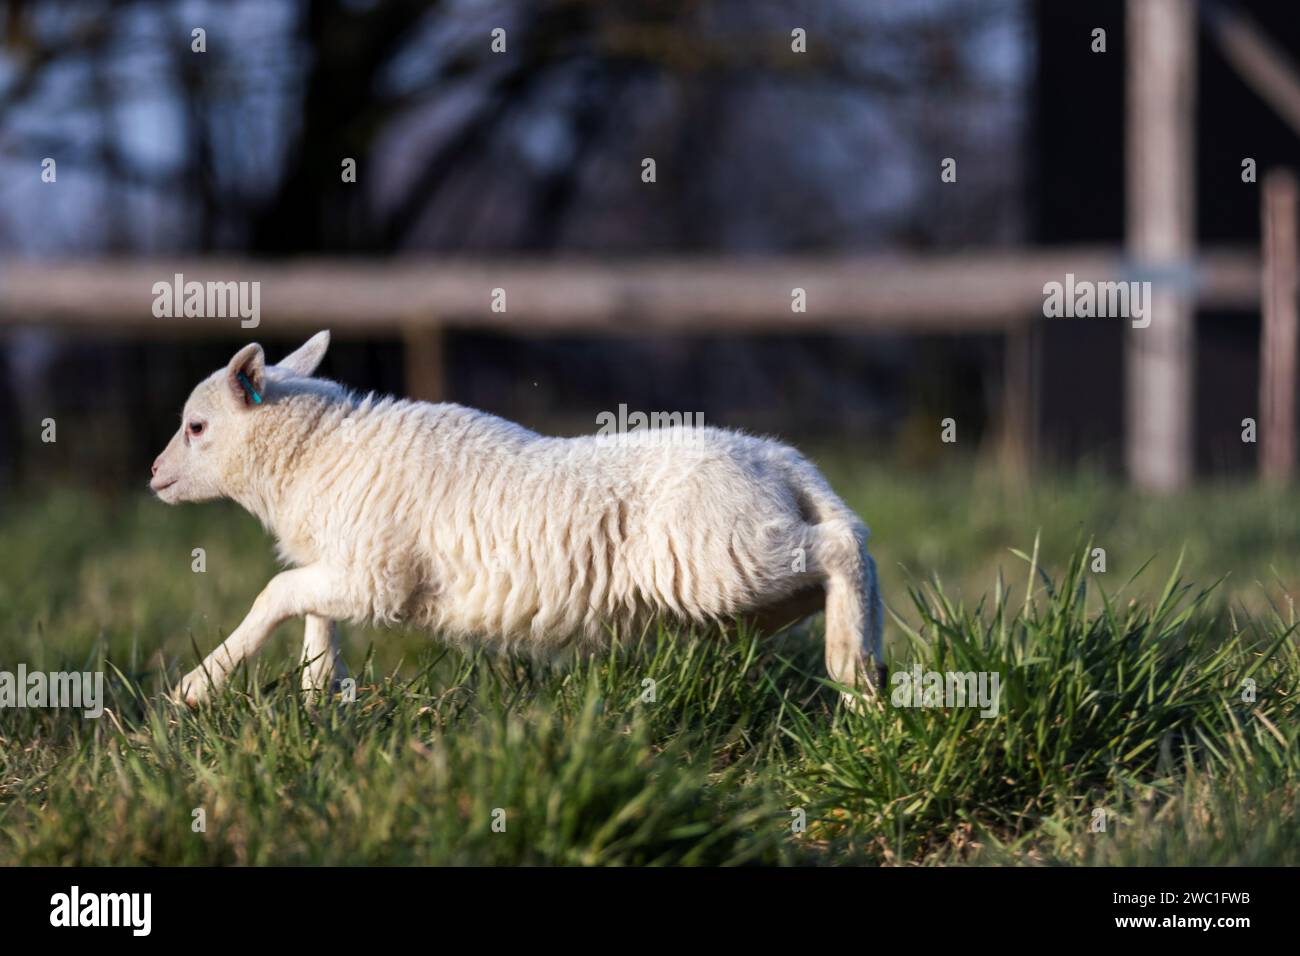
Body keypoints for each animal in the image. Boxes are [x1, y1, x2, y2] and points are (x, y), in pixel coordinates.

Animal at [149, 332, 883, 707]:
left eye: (196, 427)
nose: (153, 475)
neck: (314, 452)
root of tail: (778, 459)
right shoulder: (346, 568)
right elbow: (309, 609)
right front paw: (318, 694)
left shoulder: (380, 578)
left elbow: (277, 594)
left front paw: (194, 689)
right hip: (743, 579)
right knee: (841, 559)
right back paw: (864, 673)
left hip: (720, 557)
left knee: (845, 544)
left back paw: (850, 665)